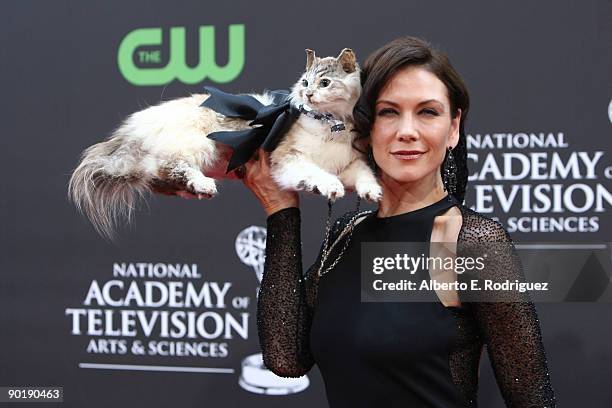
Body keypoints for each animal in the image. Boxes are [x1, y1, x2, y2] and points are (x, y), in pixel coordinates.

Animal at [68, 48, 382, 241]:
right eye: (305, 82)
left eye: (325, 83)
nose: (308, 94)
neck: (332, 126)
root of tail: (132, 128)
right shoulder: (289, 157)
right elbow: (316, 173)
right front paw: (328, 186)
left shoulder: (349, 163)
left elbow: (364, 175)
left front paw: (372, 193)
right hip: (195, 145)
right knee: (174, 167)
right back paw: (203, 184)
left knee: (159, 177)